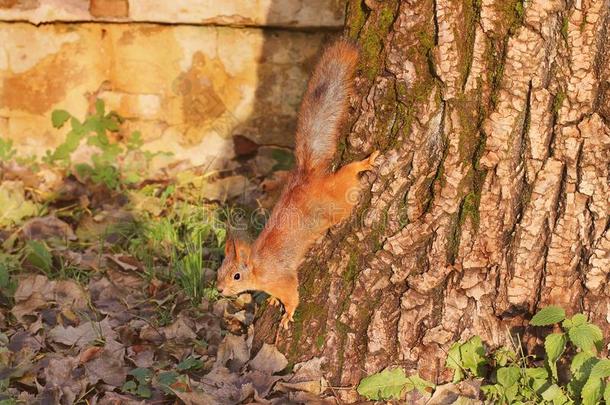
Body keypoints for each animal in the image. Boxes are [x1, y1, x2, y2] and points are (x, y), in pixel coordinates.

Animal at [214, 38, 376, 328]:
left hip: (338, 200)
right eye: (219, 270)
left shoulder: (282, 279)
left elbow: (291, 295)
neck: (258, 267)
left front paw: (287, 315)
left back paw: (364, 164)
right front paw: (271, 301)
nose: (219, 289)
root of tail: (305, 176)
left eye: (236, 276)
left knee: (347, 176)